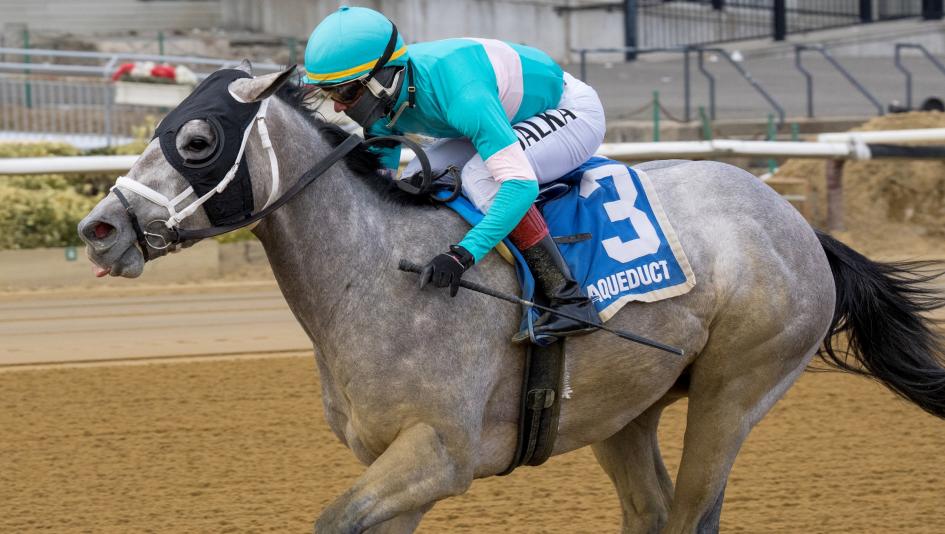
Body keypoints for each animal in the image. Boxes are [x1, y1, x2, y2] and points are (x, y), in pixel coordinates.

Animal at [77, 64, 945, 534]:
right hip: (623, 412)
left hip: (735, 392)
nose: (98, 227)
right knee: (652, 509)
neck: (372, 270)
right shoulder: (394, 467)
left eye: (196, 141)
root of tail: (795, 223)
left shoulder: (441, 454)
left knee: (692, 509)